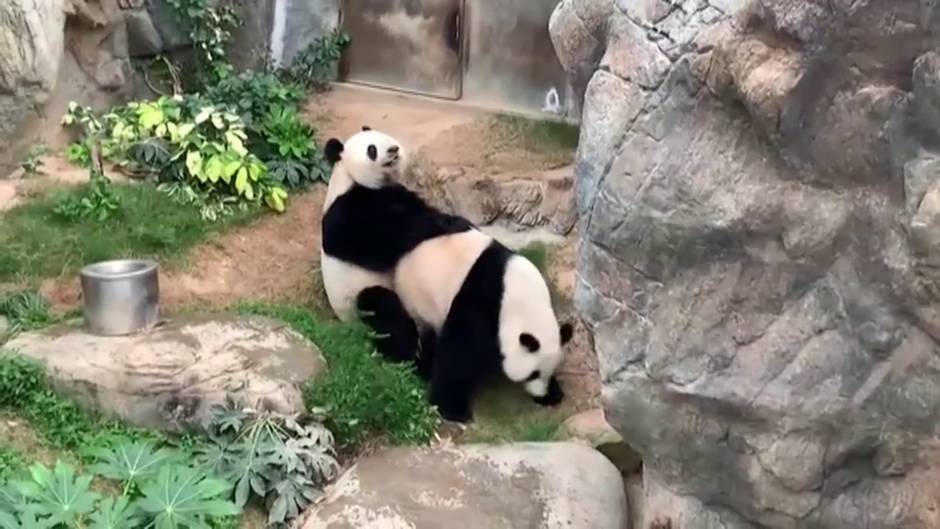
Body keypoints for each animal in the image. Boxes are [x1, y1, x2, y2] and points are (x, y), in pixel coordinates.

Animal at [322, 126, 572, 422]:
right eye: (372, 149)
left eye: (546, 372)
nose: (393, 150)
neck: (513, 295)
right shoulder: (478, 303)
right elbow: (458, 355)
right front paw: (453, 407)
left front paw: (554, 392)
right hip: (362, 296)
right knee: (384, 313)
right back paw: (414, 361)